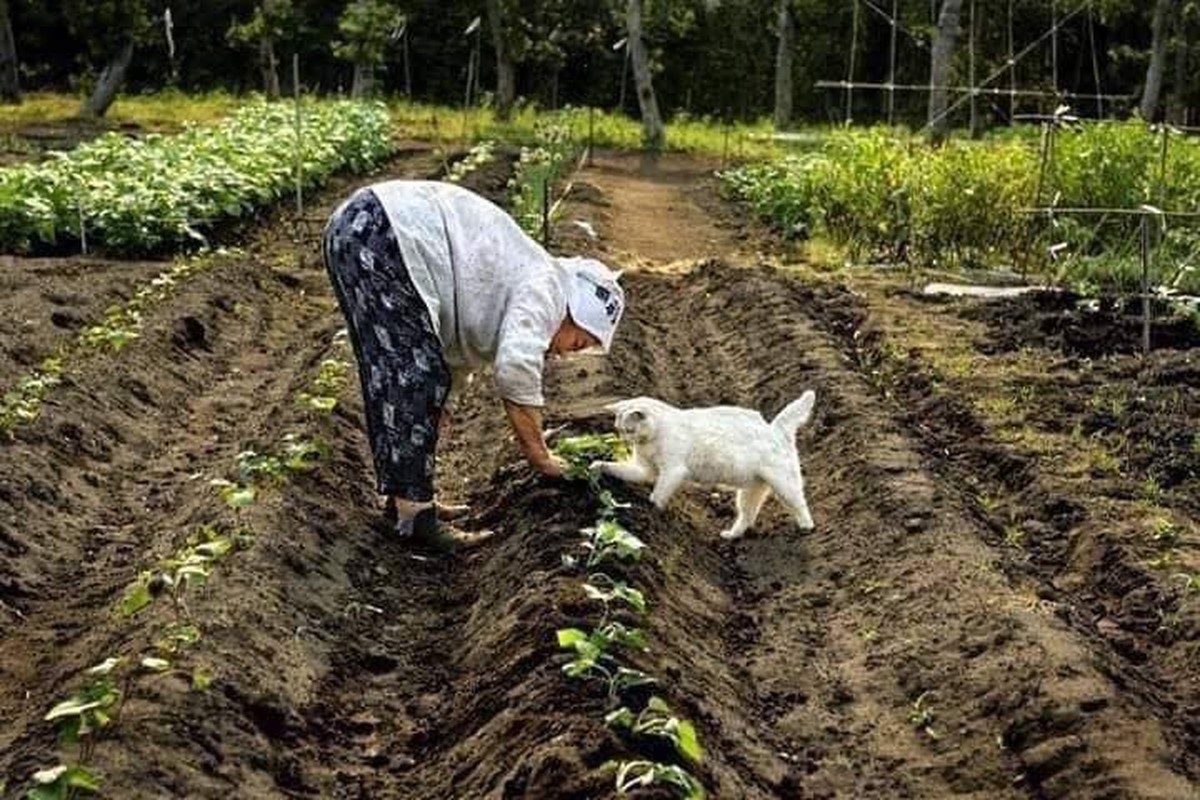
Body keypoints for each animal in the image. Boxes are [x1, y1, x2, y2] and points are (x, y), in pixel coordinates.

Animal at [590, 393, 816, 542]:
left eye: (629, 430)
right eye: (618, 430)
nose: (624, 440)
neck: (650, 439)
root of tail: (775, 428)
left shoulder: (672, 471)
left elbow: (657, 497)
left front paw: (652, 512)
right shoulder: (644, 470)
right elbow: (615, 468)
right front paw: (595, 466)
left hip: (784, 485)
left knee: (800, 504)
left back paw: (807, 528)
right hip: (750, 492)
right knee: (747, 517)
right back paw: (732, 535)